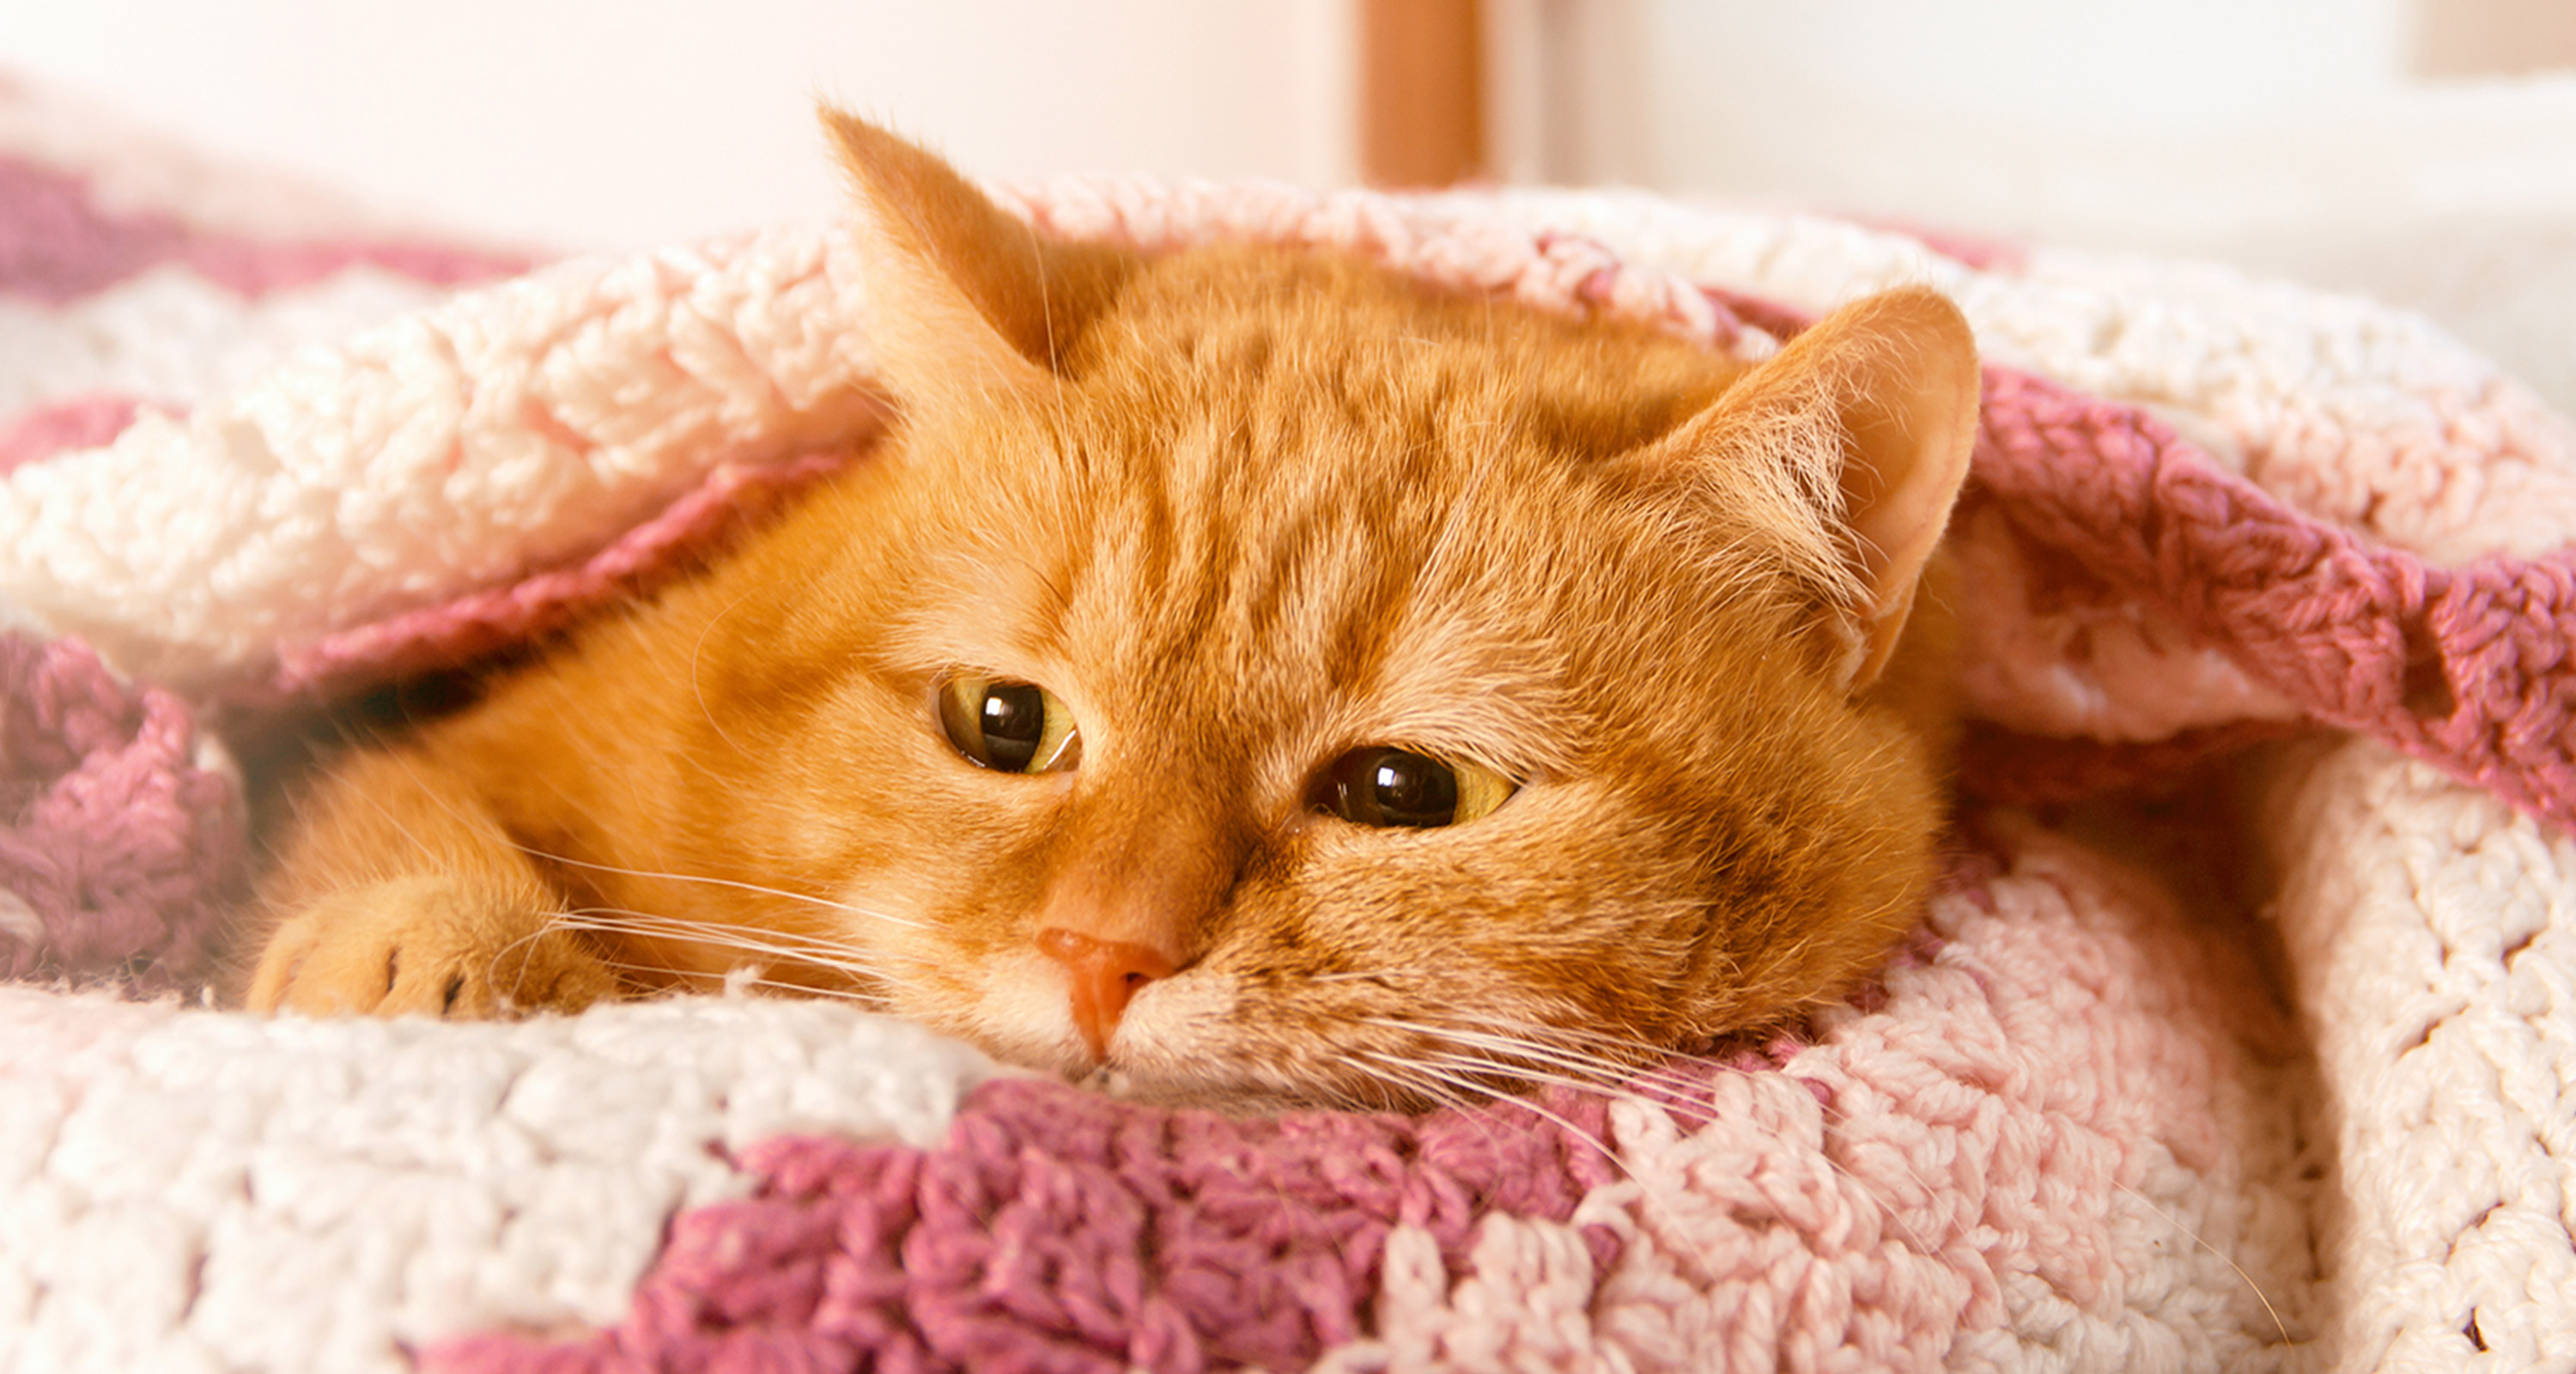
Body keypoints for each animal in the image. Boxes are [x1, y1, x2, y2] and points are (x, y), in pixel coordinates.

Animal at [237, 112, 1968, 1108]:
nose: (1099, 956)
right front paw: (423, 956)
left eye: (1405, 792)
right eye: (1004, 725)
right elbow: (399, 823)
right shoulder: (472, 740)